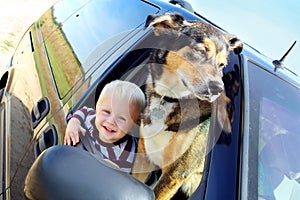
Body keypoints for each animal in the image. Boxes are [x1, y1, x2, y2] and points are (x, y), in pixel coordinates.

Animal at [132, 13, 243, 199]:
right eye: (201, 50)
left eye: (221, 65)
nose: (218, 88)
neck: (170, 98)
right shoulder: (143, 158)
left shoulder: (175, 174)